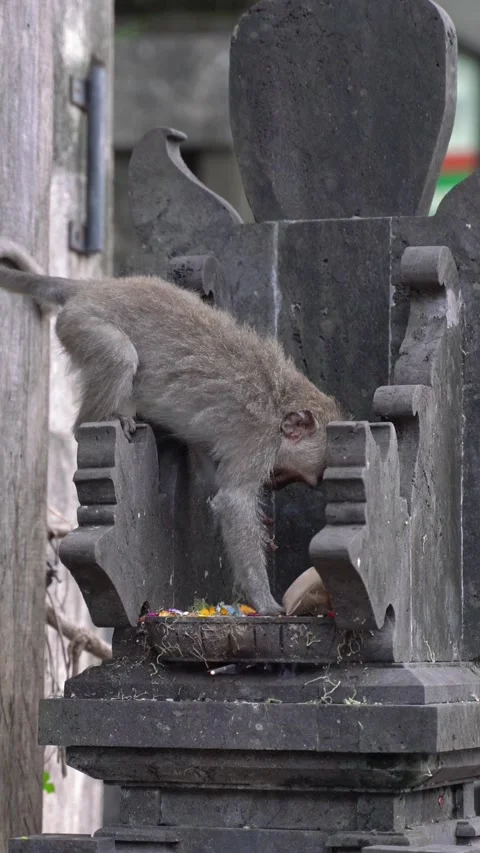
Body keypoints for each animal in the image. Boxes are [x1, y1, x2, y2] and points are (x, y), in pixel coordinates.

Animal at [0, 267, 342, 615]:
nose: (275, 484)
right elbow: (233, 499)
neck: (281, 402)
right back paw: (100, 419)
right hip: (83, 323)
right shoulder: (257, 441)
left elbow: (211, 474)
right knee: (120, 356)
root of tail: (95, 288)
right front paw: (264, 600)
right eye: (291, 474)